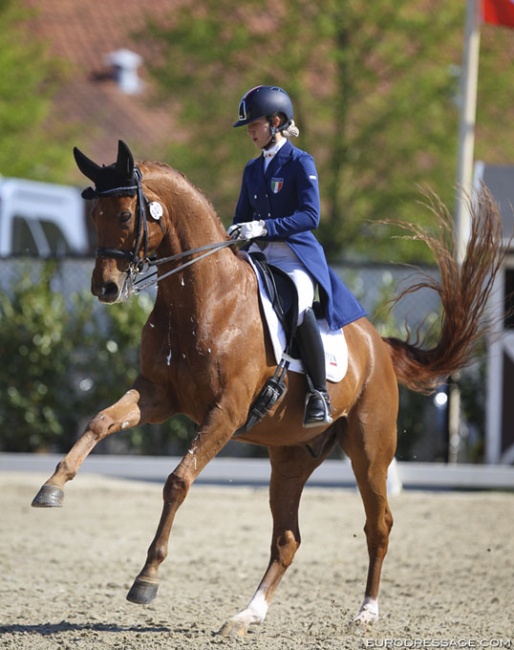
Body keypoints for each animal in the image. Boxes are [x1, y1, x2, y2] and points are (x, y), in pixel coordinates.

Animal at [32, 140, 500, 632]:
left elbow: (177, 481)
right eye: (94, 215)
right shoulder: (158, 396)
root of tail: (379, 346)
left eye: (124, 215)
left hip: (370, 450)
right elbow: (101, 421)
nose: (104, 288)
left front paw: (147, 578)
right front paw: (52, 487)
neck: (203, 299)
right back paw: (246, 614)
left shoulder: (226, 411)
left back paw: (366, 612)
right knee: (288, 538)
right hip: (291, 458)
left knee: (379, 526)